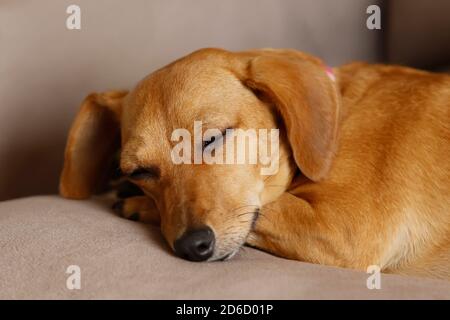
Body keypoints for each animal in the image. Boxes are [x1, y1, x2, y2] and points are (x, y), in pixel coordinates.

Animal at [59, 48, 450, 280]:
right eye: (139, 171)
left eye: (214, 138)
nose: (192, 247)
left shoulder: (345, 229)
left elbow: (266, 210)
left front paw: (137, 204)